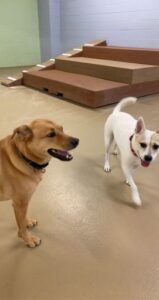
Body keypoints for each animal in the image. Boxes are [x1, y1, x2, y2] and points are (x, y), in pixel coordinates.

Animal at [0, 118, 79, 247]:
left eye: (62, 129)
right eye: (51, 134)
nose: (77, 140)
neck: (24, 157)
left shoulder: (21, 204)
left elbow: (22, 219)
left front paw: (27, 222)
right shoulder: (20, 203)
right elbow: (21, 227)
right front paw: (28, 239)